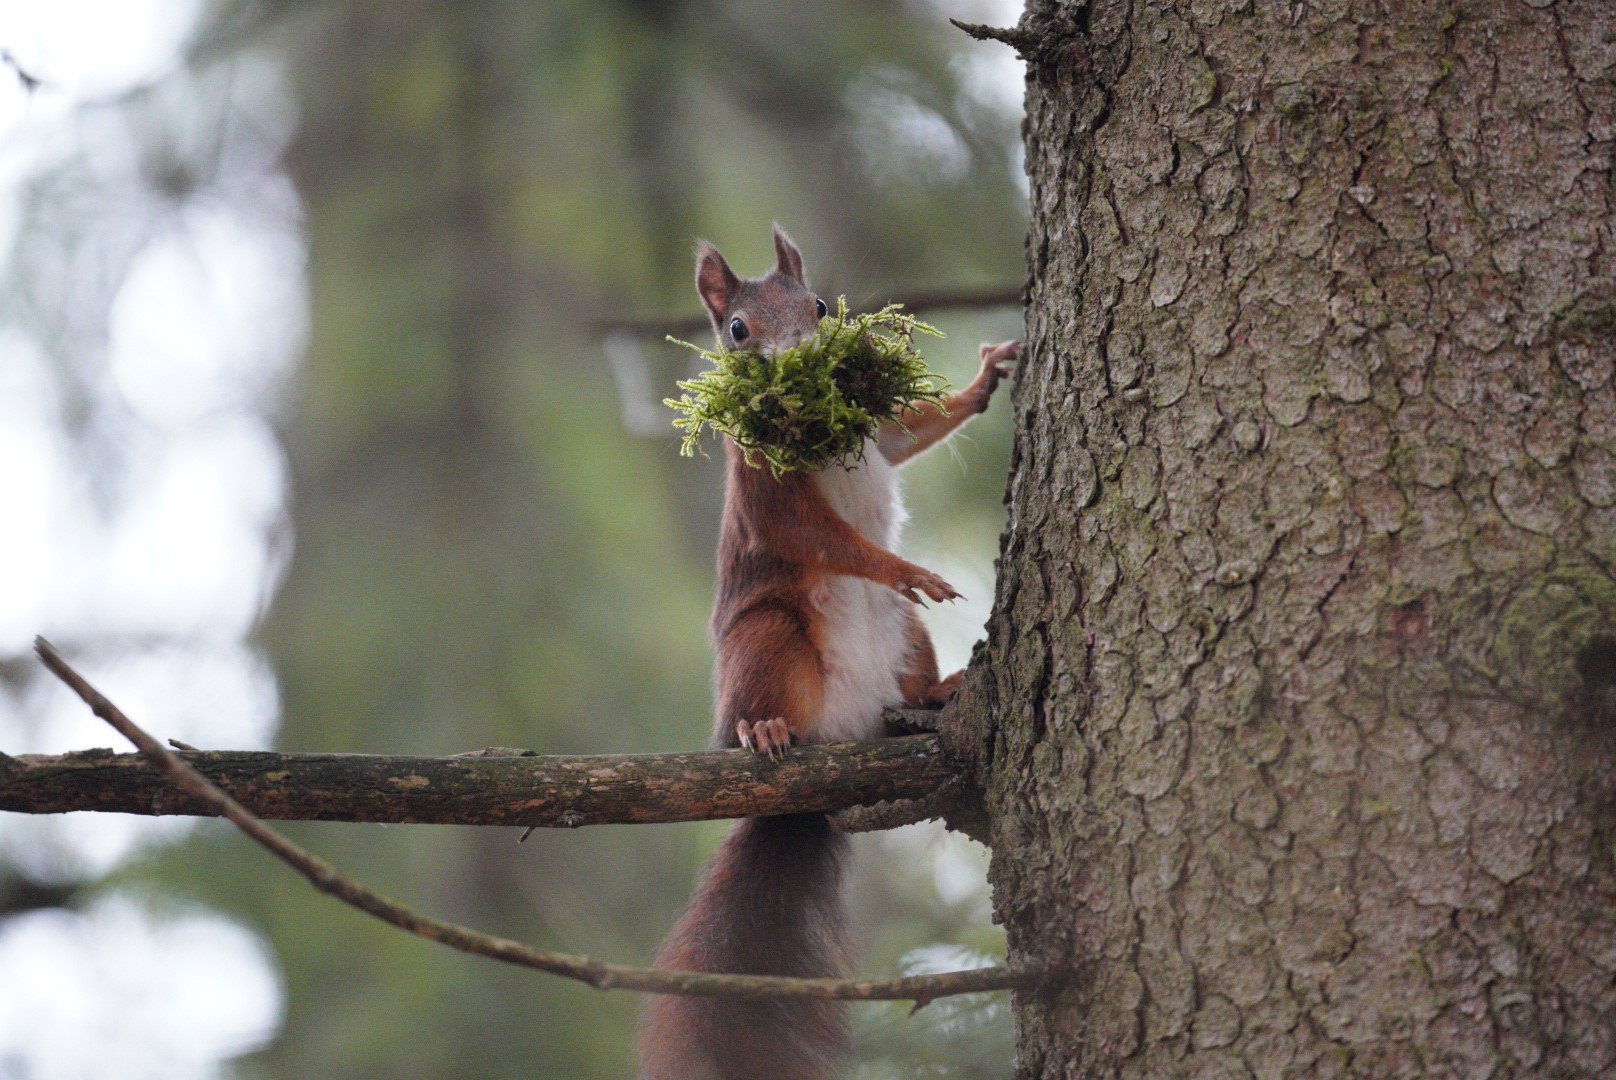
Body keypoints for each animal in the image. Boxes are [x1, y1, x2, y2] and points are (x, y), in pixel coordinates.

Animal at [636, 227, 1014, 1080]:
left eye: (818, 304)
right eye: (737, 331)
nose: (804, 358)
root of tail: (840, 733)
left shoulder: (880, 434)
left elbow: (909, 430)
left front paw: (982, 382)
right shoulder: (765, 487)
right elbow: (822, 538)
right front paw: (904, 567)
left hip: (903, 640)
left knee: (911, 674)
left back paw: (939, 692)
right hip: (769, 640)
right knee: (758, 701)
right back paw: (764, 730)